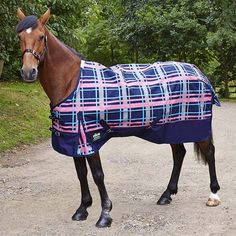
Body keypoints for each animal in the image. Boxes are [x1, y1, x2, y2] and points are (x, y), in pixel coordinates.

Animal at [15, 8, 220, 228]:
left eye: (41, 37)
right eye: (20, 37)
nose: (28, 72)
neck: (71, 81)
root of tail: (199, 72)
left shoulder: (89, 136)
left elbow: (97, 175)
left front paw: (105, 214)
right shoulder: (73, 138)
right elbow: (81, 174)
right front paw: (82, 209)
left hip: (196, 127)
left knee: (209, 152)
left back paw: (213, 195)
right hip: (172, 128)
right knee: (179, 154)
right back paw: (167, 195)